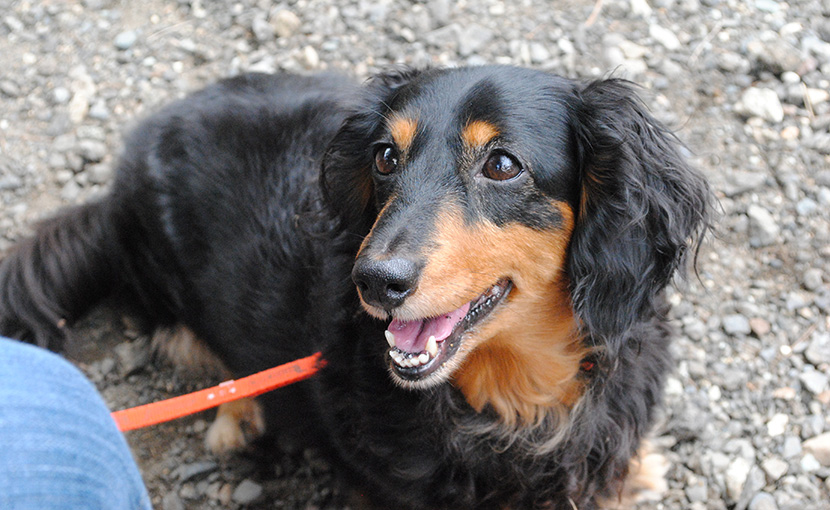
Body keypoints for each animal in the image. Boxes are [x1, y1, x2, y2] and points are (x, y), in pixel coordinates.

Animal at [1, 65, 716, 508]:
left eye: (502, 164)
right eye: (385, 156)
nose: (373, 281)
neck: (516, 398)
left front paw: (632, 473)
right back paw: (238, 413)